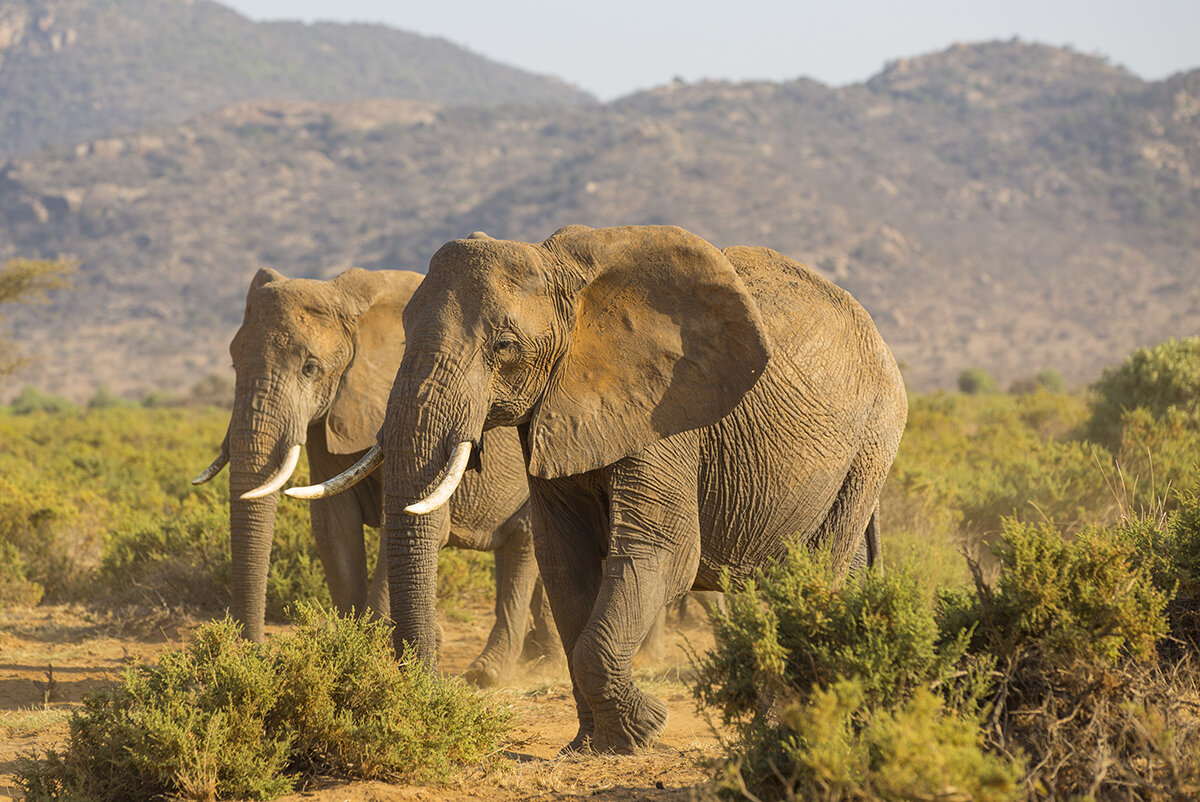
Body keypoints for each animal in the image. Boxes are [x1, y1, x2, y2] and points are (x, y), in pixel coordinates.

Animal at [190, 266, 556, 686]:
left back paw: (492, 673)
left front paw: (372, 651)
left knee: (525, 544)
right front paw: (351, 650)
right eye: (235, 365)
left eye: (310, 368)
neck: (346, 301)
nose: (256, 653)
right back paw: (543, 659)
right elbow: (333, 525)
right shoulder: (330, 421)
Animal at [290, 224, 902, 753]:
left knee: (817, 573)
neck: (570, 283)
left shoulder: (664, 412)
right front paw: (594, 746)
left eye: (505, 346)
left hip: (871, 444)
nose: (431, 689)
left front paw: (646, 728)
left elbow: (662, 553)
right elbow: (564, 560)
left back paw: (789, 729)